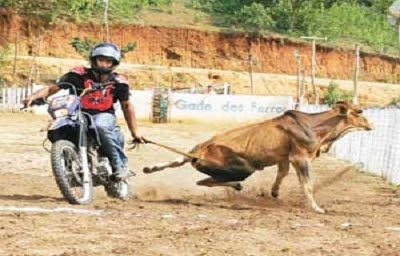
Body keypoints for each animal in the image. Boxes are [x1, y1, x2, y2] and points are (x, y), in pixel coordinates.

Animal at [144, 101, 372, 213]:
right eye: (358, 112)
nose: (370, 124)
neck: (315, 126)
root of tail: (198, 151)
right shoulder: (300, 158)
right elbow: (307, 185)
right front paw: (317, 208)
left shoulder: (284, 159)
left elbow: (282, 175)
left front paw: (274, 192)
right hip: (245, 169)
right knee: (204, 181)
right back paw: (237, 186)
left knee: (187, 170)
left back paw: (150, 168)